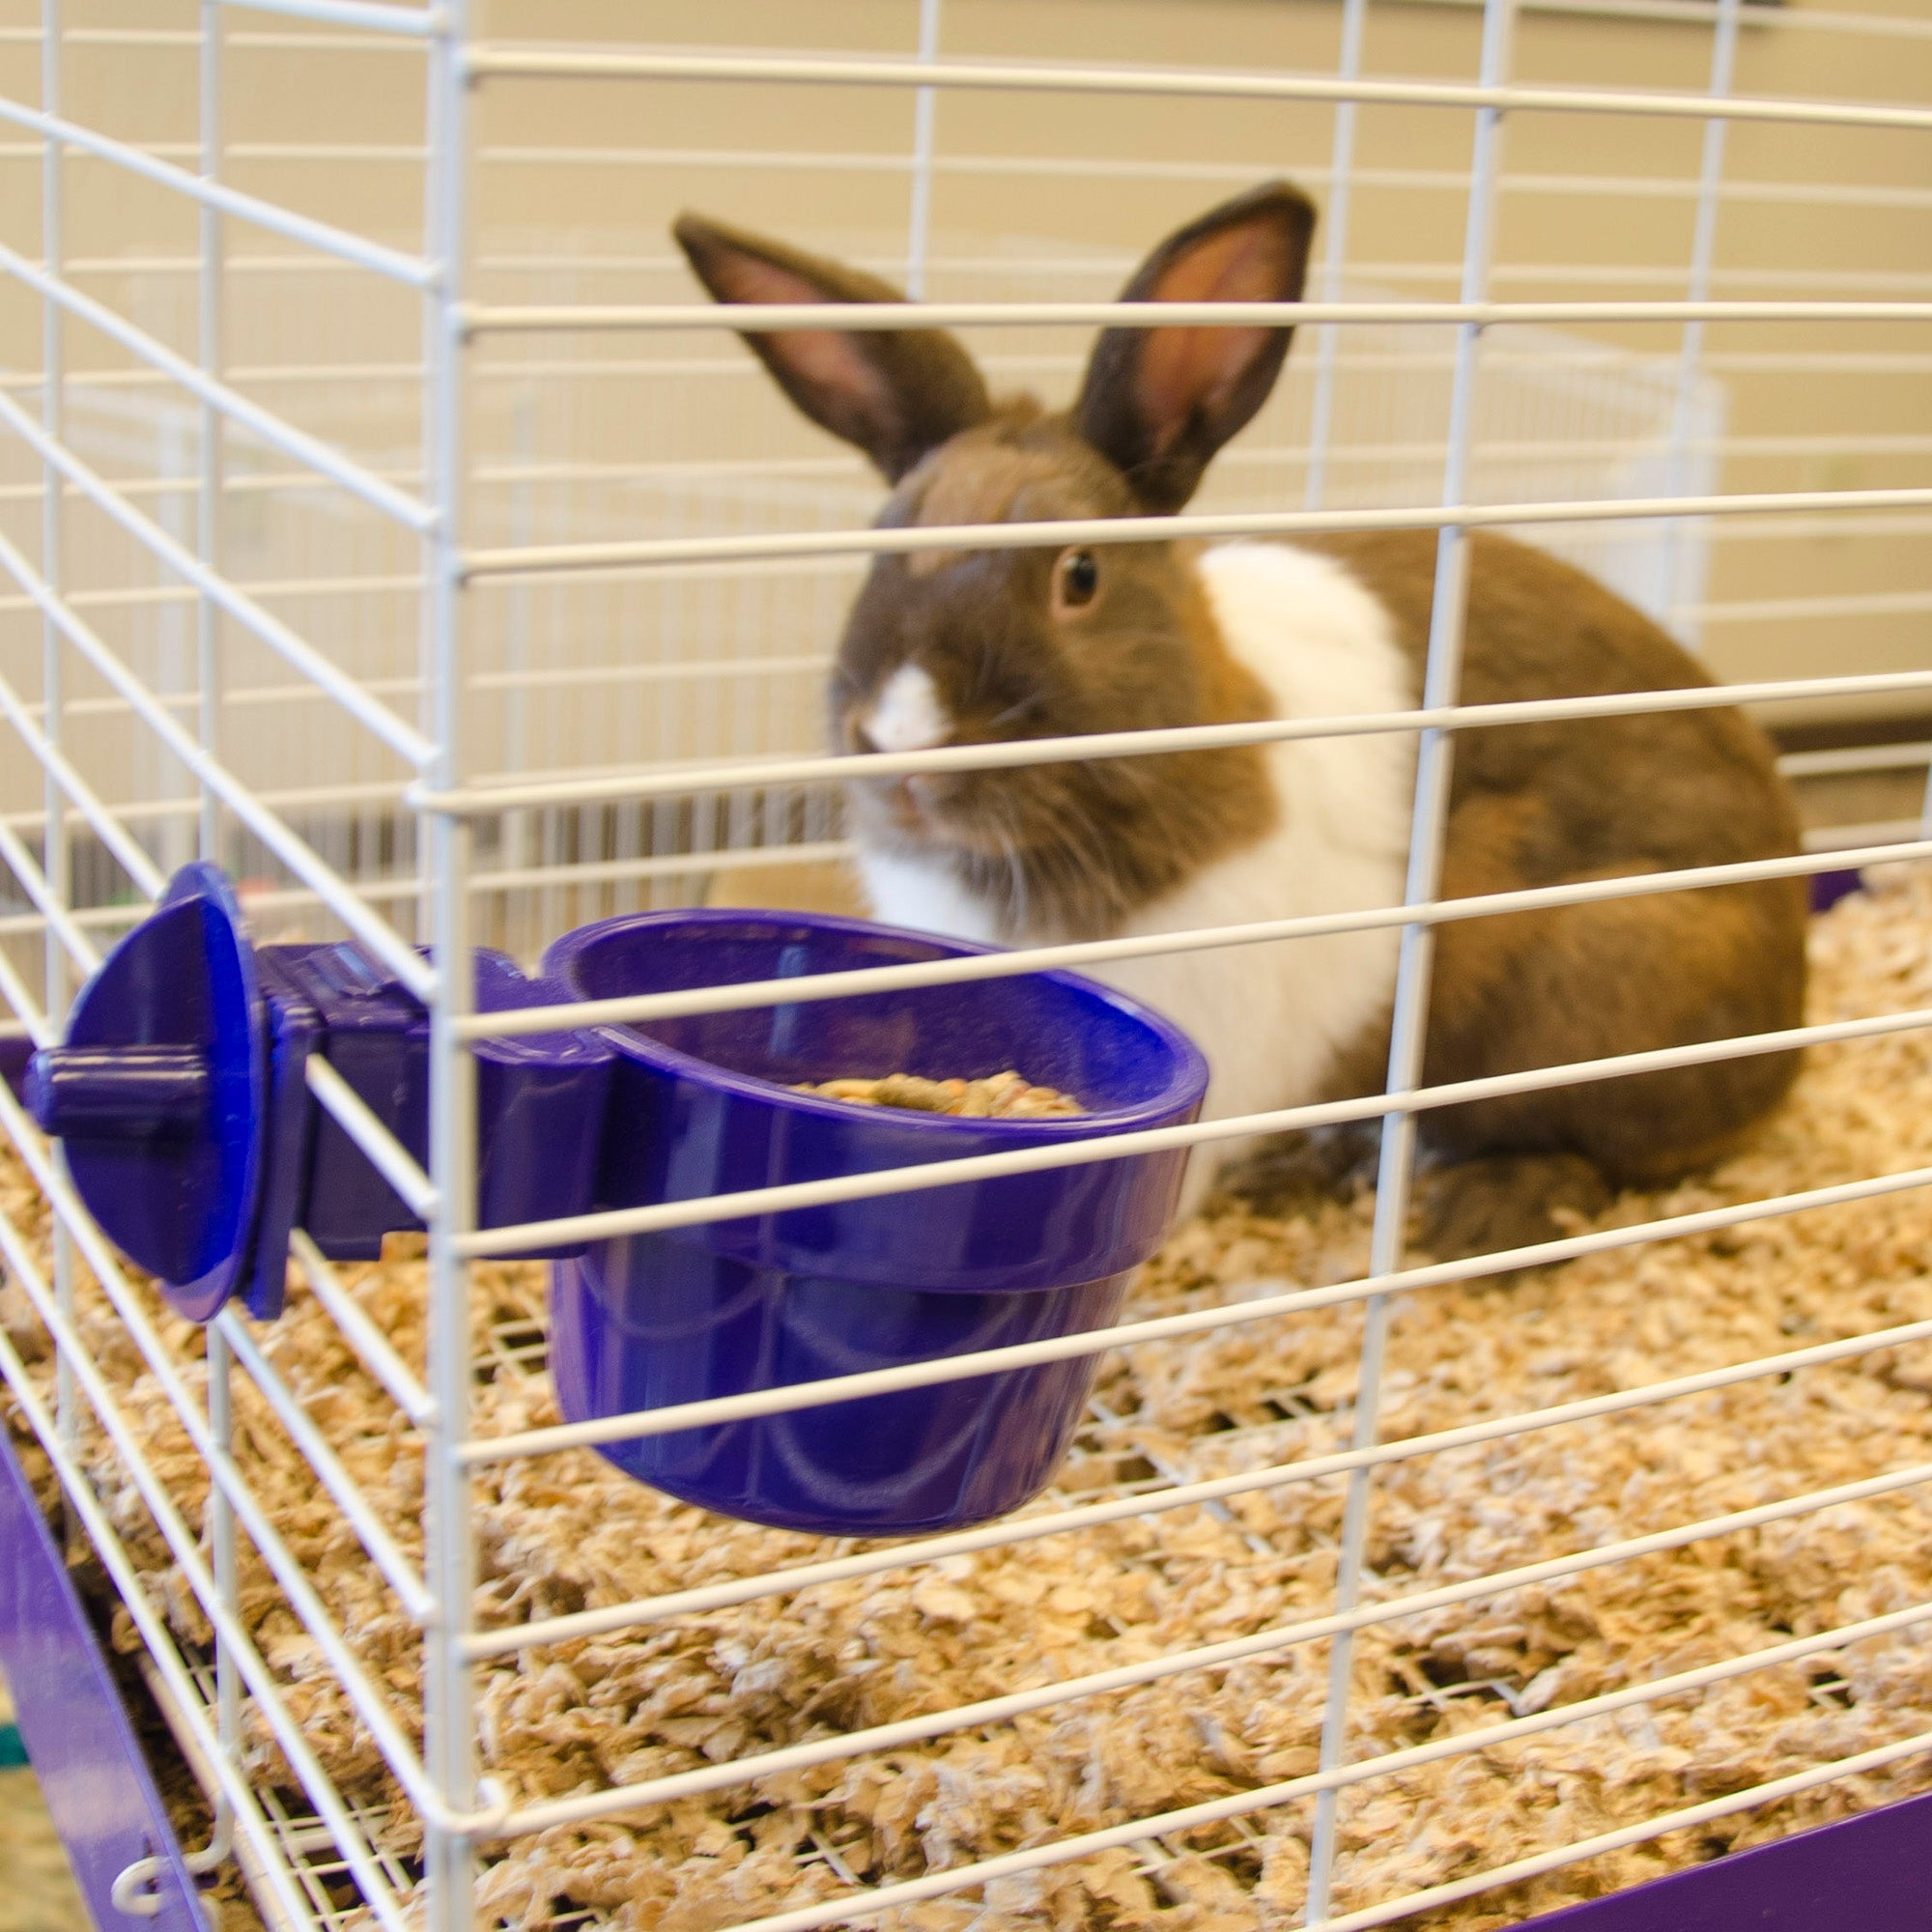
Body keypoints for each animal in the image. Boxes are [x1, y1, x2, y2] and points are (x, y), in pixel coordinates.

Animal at [672, 182, 1809, 1259]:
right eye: (878, 548)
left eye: (1077, 576)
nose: (905, 742)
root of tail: (1790, 1011)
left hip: (1604, 981)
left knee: (1594, 1147)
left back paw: (1483, 1214)